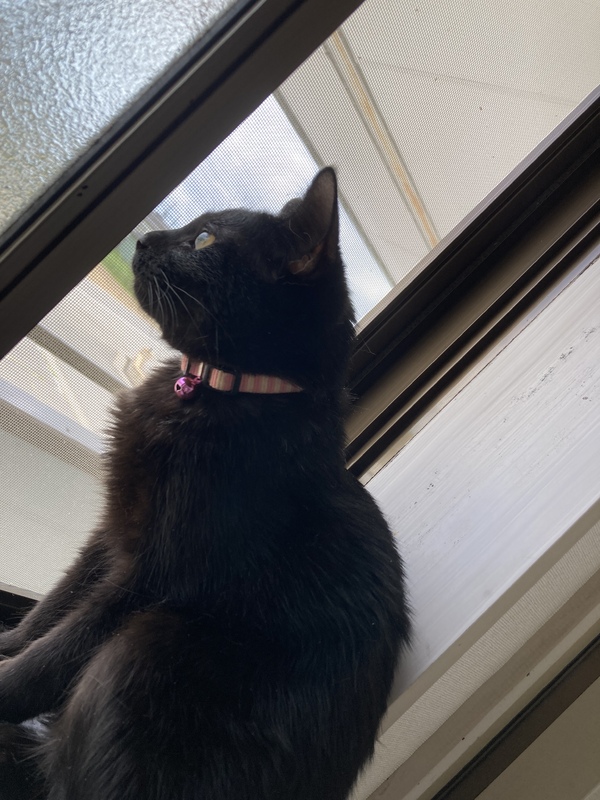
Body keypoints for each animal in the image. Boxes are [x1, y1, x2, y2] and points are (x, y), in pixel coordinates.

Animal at [0, 168, 410, 800]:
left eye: (204, 240)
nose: (145, 239)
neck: (219, 391)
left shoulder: (150, 579)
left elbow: (59, 650)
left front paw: (2, 682)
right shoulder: (114, 534)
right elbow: (54, 607)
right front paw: (5, 644)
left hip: (144, 644)